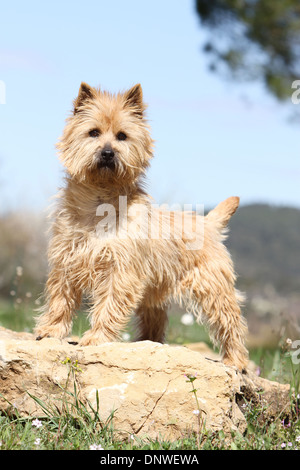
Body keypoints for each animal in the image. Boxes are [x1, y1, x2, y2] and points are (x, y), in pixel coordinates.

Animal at [34, 81, 248, 370]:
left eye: (122, 136)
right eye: (93, 132)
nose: (107, 152)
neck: (99, 202)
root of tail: (208, 222)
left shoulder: (120, 270)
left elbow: (109, 303)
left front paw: (97, 337)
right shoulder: (66, 260)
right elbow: (60, 298)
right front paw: (51, 330)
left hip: (213, 288)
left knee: (231, 322)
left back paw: (236, 361)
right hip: (154, 294)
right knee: (155, 321)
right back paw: (148, 344)